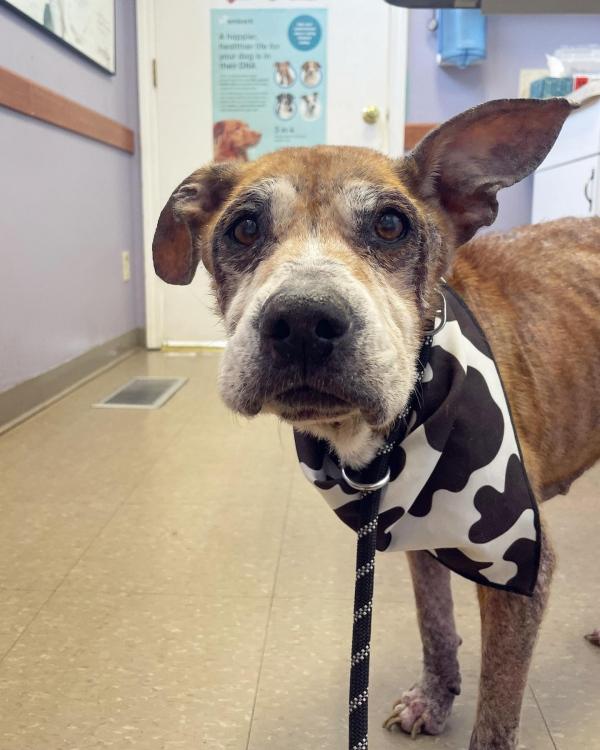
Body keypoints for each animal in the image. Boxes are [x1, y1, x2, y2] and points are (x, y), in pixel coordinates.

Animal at [151, 98, 600, 748]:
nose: (303, 322)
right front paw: (434, 700)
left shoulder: (519, 568)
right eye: (244, 229)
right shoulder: (419, 539)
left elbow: (496, 717)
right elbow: (434, 624)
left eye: (390, 225)